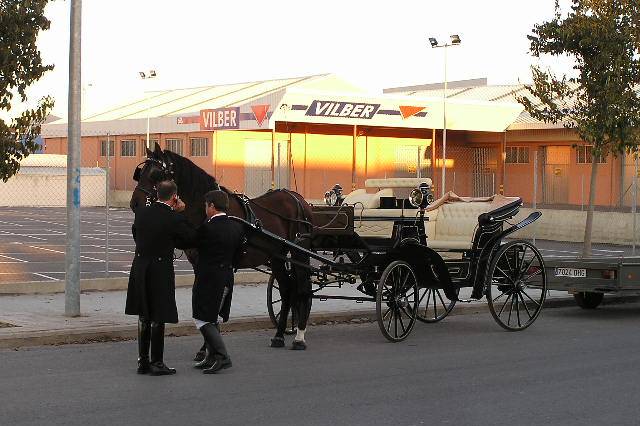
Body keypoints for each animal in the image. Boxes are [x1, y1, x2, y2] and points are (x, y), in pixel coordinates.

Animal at [131, 143, 316, 350]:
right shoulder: (199, 264)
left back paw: (299, 336)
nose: (135, 203)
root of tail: (297, 198)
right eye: (140, 173)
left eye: (155, 174)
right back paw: (279, 335)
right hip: (276, 255)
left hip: (299, 253)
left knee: (303, 289)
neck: (206, 213)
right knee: (287, 289)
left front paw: (207, 347)